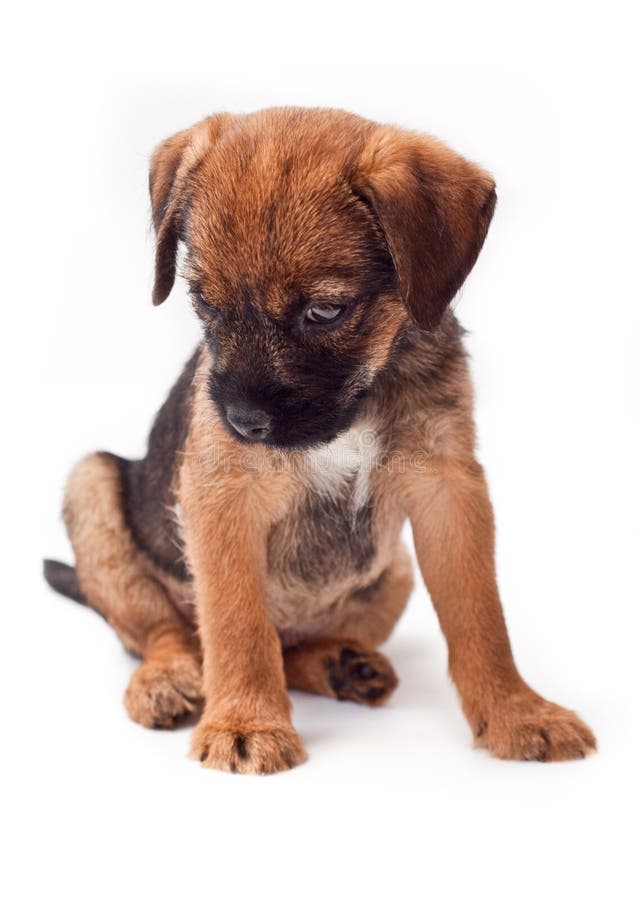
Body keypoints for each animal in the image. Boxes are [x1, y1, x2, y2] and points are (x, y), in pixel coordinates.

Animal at [46, 107, 596, 772]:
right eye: (204, 301)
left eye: (325, 313)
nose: (241, 421)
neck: (359, 402)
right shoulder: (220, 495)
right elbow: (237, 623)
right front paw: (245, 722)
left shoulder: (448, 489)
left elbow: (480, 614)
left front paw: (518, 710)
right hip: (91, 487)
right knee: (167, 633)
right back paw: (165, 680)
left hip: (395, 569)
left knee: (288, 648)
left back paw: (341, 665)